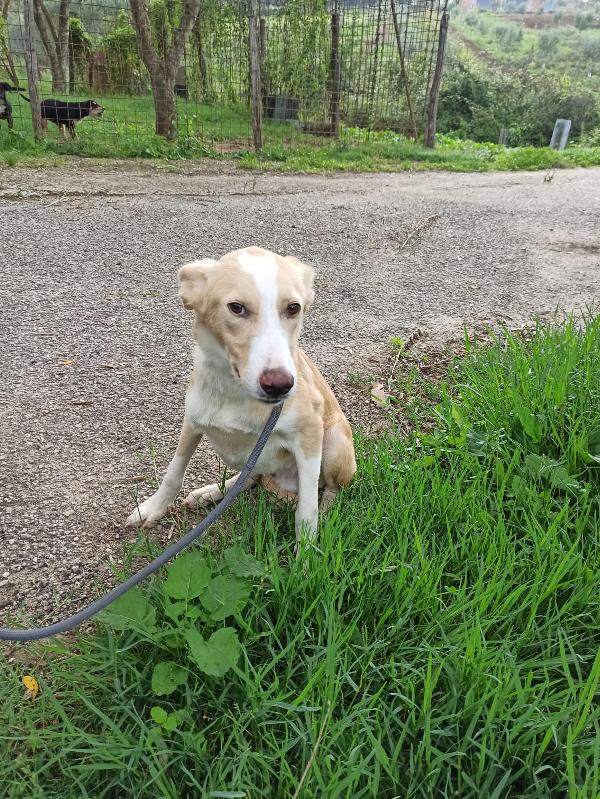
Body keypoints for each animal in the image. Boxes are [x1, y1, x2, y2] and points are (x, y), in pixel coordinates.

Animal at [123, 248, 354, 552]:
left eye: (294, 308)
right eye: (236, 307)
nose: (280, 385)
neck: (234, 391)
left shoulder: (310, 432)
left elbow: (306, 511)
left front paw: (305, 553)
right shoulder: (192, 421)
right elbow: (173, 473)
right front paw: (153, 508)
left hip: (336, 439)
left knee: (330, 492)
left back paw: (326, 522)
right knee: (250, 477)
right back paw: (212, 492)